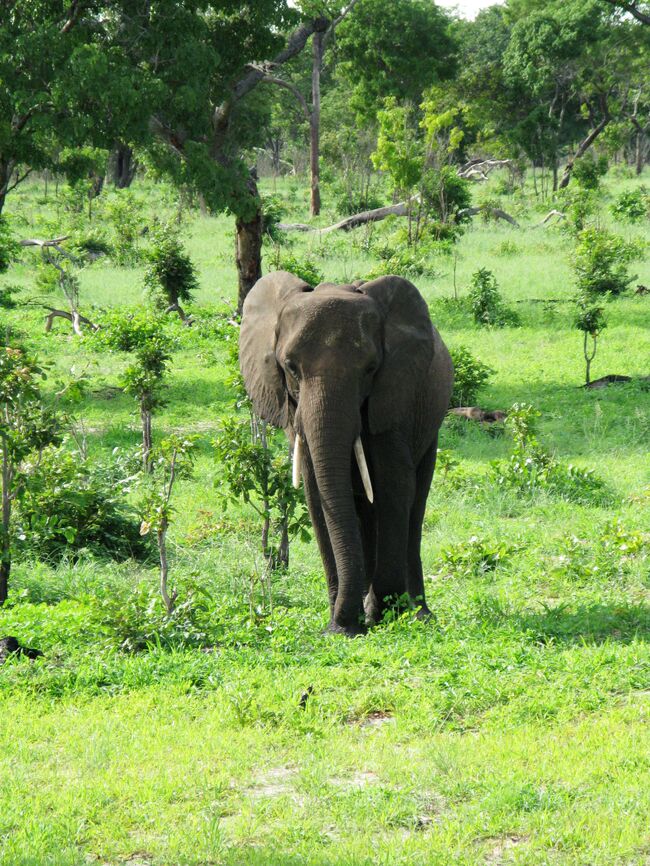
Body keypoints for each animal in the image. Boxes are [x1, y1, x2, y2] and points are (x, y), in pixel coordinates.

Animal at [238, 270, 450, 636]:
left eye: (371, 368)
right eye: (290, 367)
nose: (341, 624)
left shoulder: (394, 397)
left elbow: (394, 485)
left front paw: (381, 615)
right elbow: (315, 492)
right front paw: (344, 625)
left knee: (416, 501)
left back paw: (418, 614)